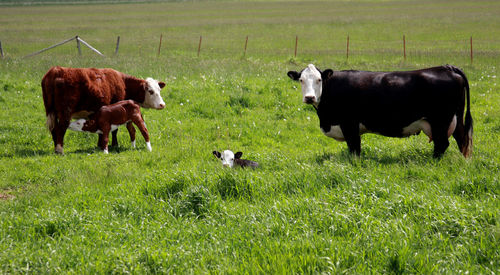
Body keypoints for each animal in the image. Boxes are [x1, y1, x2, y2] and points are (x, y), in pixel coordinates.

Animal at [286, 64, 472, 158]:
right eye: (301, 80)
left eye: (319, 79)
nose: (309, 97)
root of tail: (447, 67)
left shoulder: (350, 125)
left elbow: (354, 149)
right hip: (455, 118)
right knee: (462, 140)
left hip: (440, 120)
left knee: (442, 144)